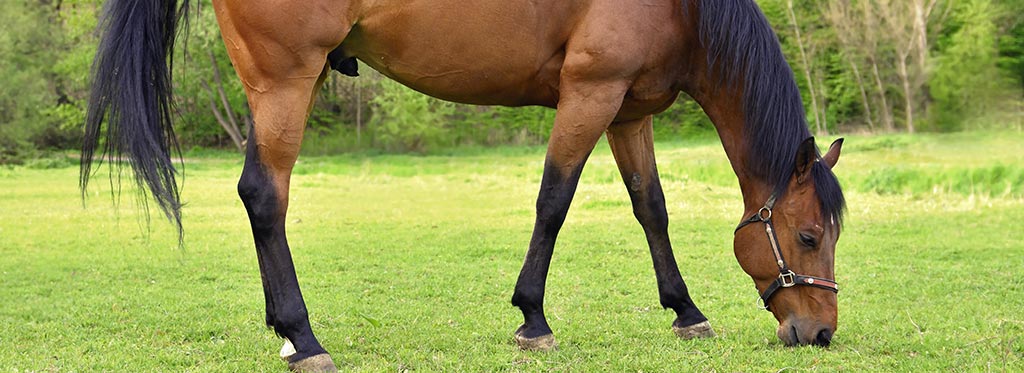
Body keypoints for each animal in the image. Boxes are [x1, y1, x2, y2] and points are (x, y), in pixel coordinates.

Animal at [81, 0, 847, 370]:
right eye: (809, 235)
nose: (819, 332)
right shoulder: (589, 93)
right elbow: (553, 200)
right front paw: (532, 318)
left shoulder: (629, 109)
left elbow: (649, 207)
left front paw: (685, 310)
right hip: (285, 80)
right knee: (266, 196)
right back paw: (303, 336)